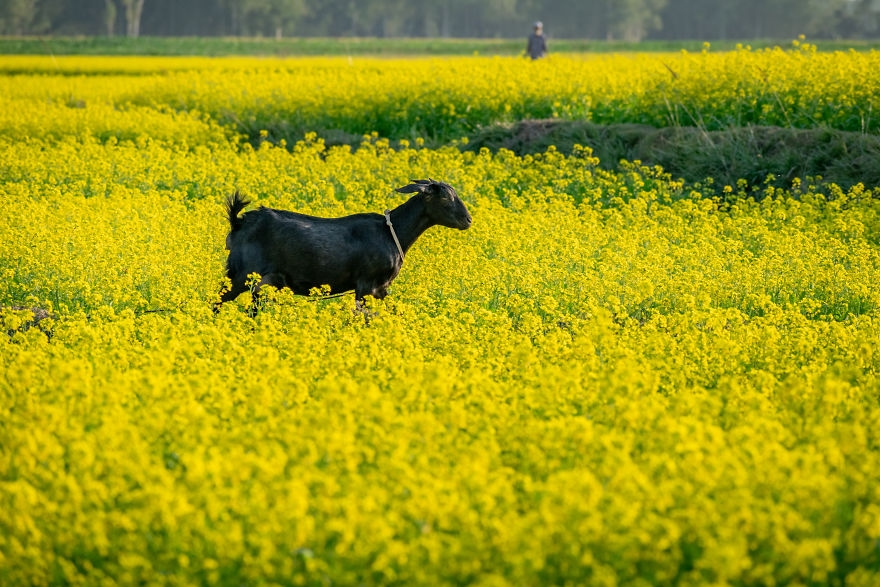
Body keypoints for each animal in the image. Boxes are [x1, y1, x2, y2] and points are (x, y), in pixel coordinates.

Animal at [217, 178, 470, 308]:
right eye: (445, 197)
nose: (468, 220)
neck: (393, 232)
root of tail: (239, 222)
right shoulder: (366, 285)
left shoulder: (380, 288)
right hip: (239, 275)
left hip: (263, 283)